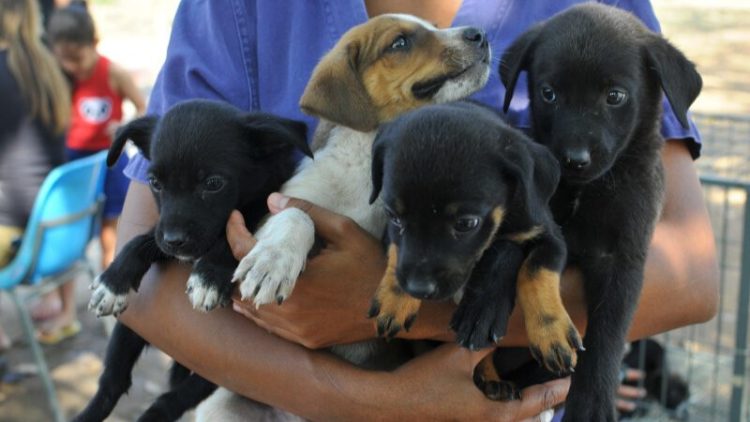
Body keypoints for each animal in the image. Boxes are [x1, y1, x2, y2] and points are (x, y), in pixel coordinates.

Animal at [76, 99, 312, 422]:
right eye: (154, 182)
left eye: (213, 183)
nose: (174, 241)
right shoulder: (164, 231)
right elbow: (142, 241)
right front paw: (113, 282)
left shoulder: (255, 211)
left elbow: (231, 236)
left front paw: (209, 276)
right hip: (133, 327)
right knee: (113, 381)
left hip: (223, 366)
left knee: (173, 398)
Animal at [236, 13, 494, 366]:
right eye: (400, 42)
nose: (480, 34)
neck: (364, 160)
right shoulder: (279, 204)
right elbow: (296, 214)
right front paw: (272, 262)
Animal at [370, 101, 588, 398]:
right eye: (394, 216)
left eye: (466, 223)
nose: (417, 288)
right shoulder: (390, 233)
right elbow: (397, 252)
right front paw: (395, 298)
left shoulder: (550, 236)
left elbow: (532, 268)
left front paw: (550, 332)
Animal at [500, 4, 704, 422]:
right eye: (548, 93)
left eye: (615, 96)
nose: (574, 159)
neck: (584, 190)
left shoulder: (623, 258)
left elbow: (608, 331)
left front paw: (591, 401)